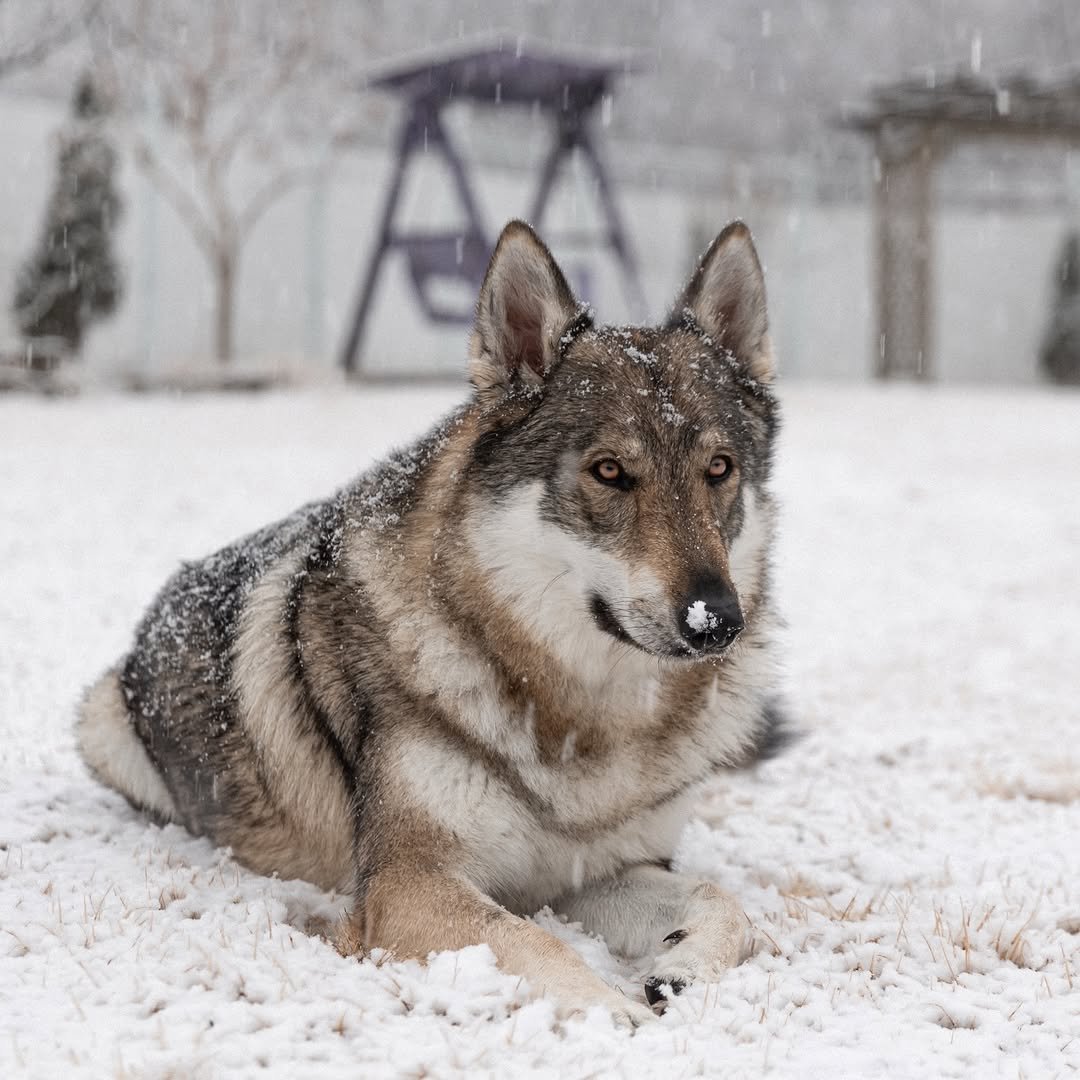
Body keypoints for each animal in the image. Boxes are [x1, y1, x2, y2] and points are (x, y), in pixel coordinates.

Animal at [77, 219, 786, 1025]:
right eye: (609, 471)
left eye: (719, 469)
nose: (717, 620)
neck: (580, 720)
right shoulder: (409, 883)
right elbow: (535, 944)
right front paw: (617, 1015)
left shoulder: (594, 869)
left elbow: (725, 903)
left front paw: (681, 970)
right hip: (100, 722)